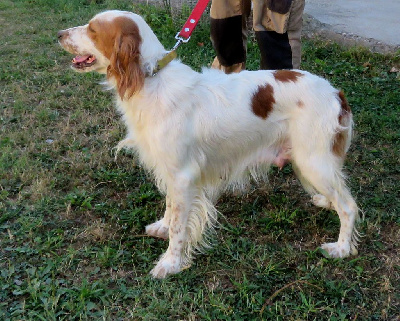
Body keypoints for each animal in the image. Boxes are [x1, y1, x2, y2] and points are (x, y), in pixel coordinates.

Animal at [58, 10, 360, 278]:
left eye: (93, 29)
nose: (59, 34)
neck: (150, 80)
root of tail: (336, 93)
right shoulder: (172, 170)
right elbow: (170, 207)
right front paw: (162, 227)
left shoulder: (183, 175)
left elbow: (179, 227)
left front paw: (170, 264)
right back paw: (324, 201)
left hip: (313, 162)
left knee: (348, 206)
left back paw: (342, 248)